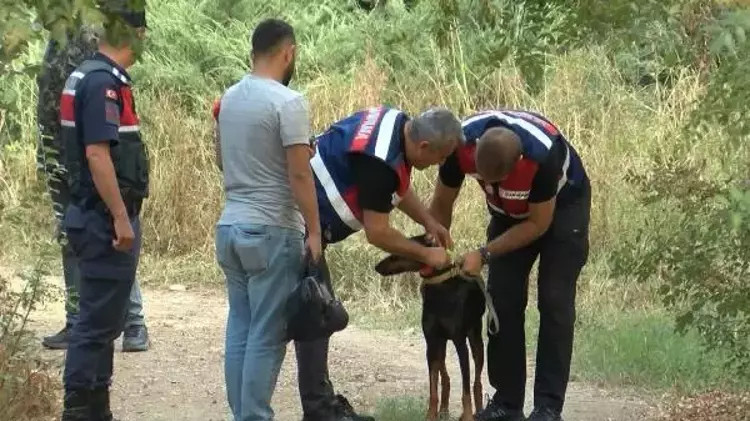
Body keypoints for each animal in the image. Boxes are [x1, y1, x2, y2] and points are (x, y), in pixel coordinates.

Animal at [374, 235, 496, 420]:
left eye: (398, 253)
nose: (376, 267)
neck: (440, 287)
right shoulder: (431, 342)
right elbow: (433, 388)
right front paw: (431, 415)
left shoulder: (460, 343)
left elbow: (466, 389)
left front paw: (467, 415)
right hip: (441, 344)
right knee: (445, 378)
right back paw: (444, 409)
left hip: (475, 340)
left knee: (477, 382)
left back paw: (477, 411)